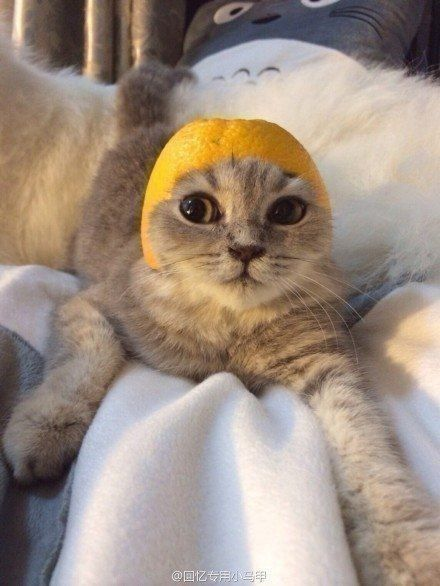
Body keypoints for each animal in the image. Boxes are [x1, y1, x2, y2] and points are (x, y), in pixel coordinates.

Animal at [3, 61, 440, 585]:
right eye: (197, 209)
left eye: (286, 211)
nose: (247, 248)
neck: (229, 330)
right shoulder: (90, 303)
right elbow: (88, 358)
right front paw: (43, 426)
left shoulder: (326, 364)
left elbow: (367, 450)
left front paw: (405, 549)